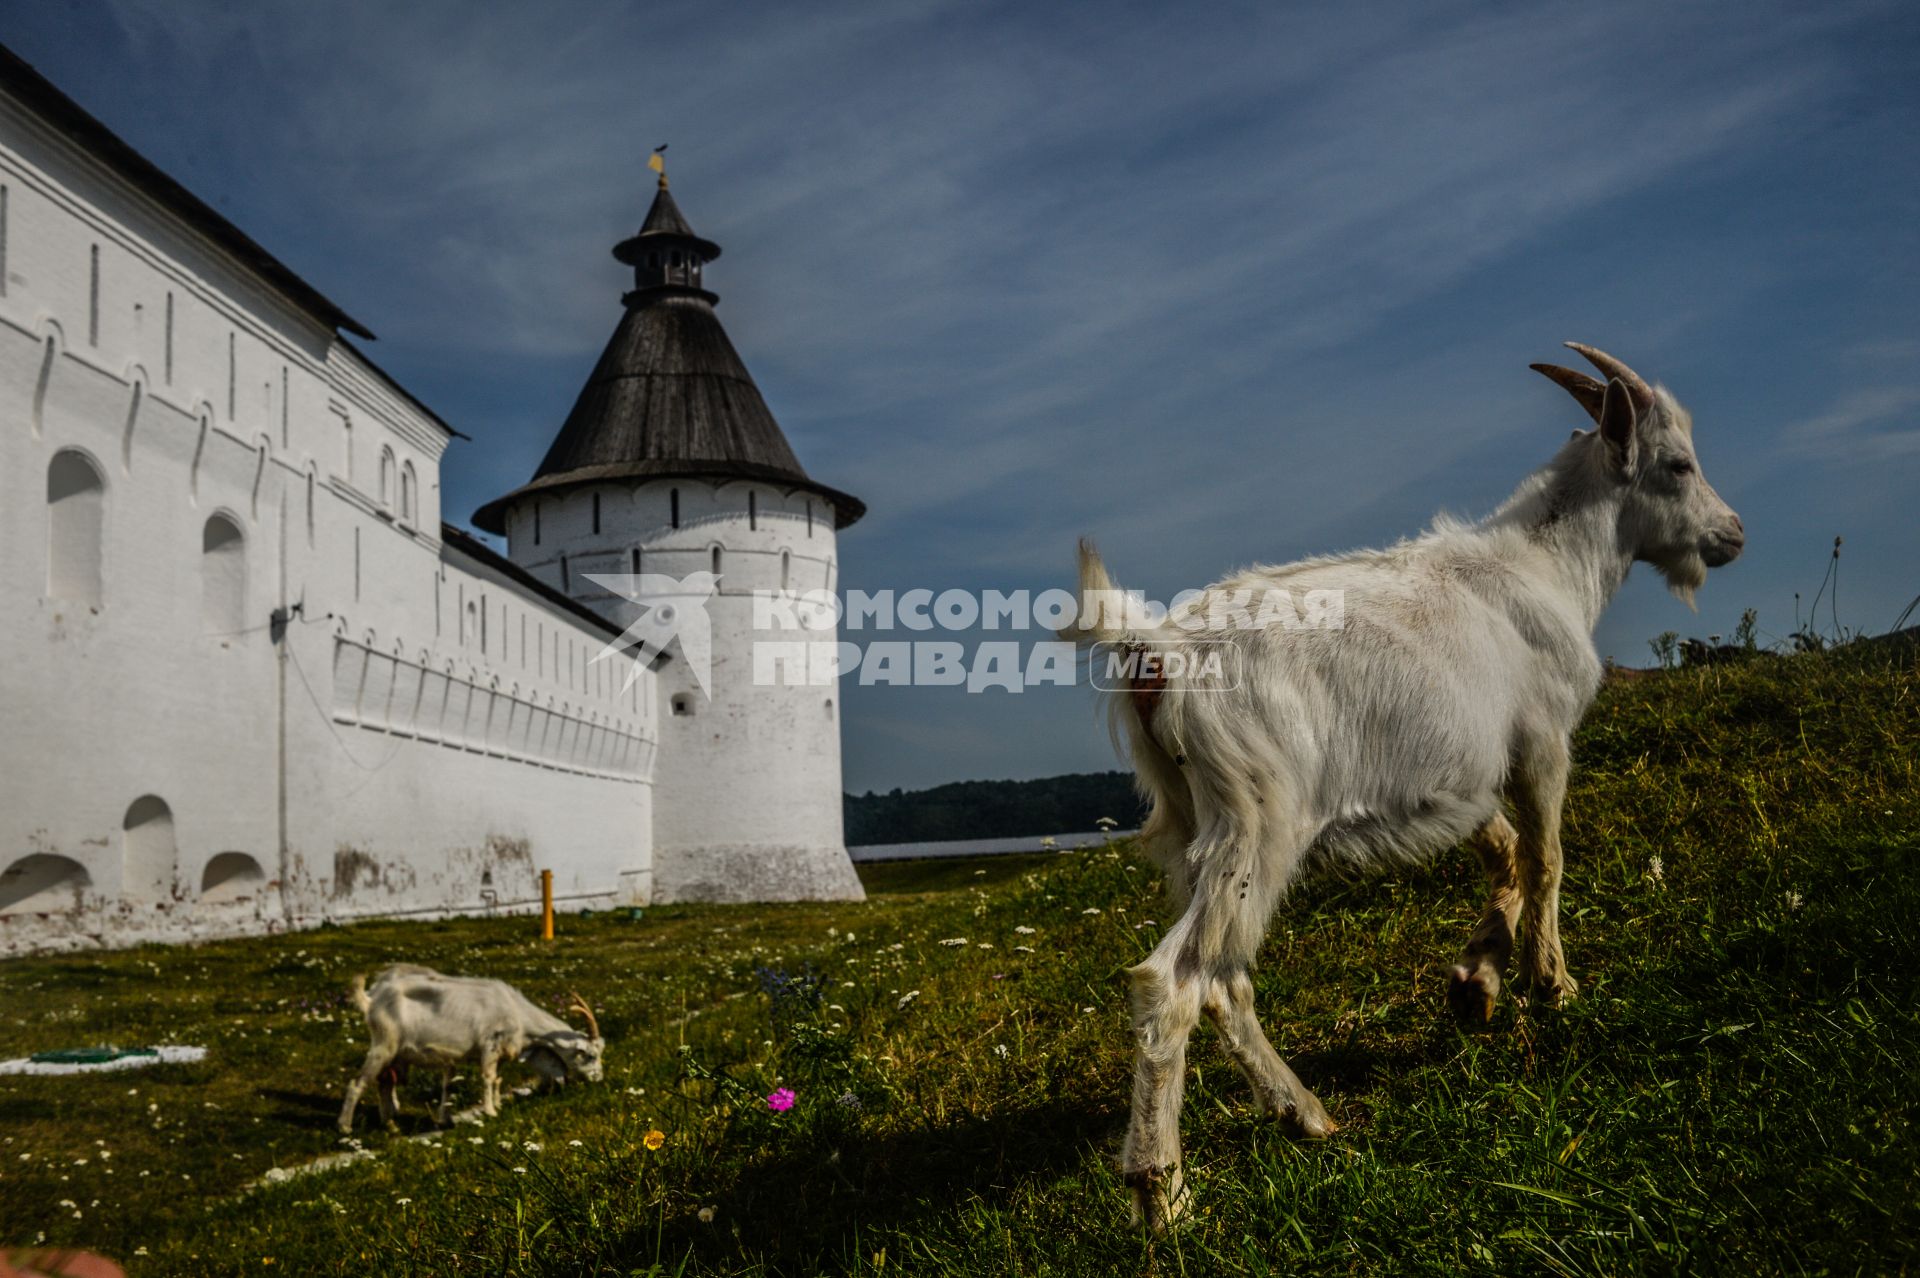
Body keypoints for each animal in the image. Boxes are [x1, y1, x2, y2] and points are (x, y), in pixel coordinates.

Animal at [337, 959, 602, 1128]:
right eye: (589, 1054)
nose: (598, 1079)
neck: (517, 1014)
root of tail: (372, 1000)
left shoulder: (500, 1053)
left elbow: (497, 1079)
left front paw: (496, 1105)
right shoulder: (490, 1046)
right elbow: (487, 1078)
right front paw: (491, 1112)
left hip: (397, 1054)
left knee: (384, 1082)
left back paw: (389, 1122)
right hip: (384, 1044)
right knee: (357, 1083)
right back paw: (345, 1127)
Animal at [1075, 343, 1751, 1220]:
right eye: (1677, 464)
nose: (1734, 532)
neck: (1547, 568)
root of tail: (1158, 650)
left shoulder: (1462, 780)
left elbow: (1505, 855)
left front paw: (1476, 983)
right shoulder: (1541, 741)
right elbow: (1547, 858)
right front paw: (1554, 984)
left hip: (1191, 819)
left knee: (1224, 979)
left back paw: (1306, 1114)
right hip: (1260, 818)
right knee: (1176, 978)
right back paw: (1162, 1189)